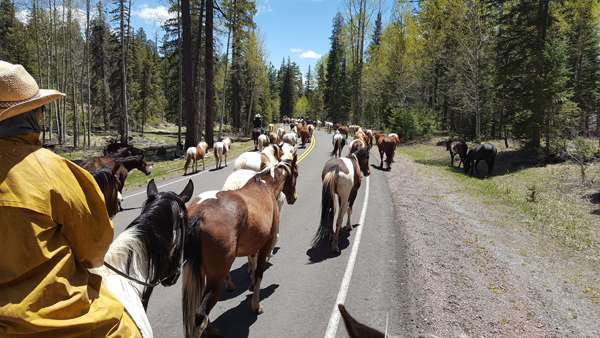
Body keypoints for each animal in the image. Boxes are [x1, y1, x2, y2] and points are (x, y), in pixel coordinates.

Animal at [180, 156, 298, 338]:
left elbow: (252, 263)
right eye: (296, 174)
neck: (265, 186)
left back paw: (212, 329)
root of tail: (200, 214)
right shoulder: (265, 244)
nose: (294, 198)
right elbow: (259, 272)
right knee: (200, 315)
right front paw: (255, 304)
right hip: (216, 278)